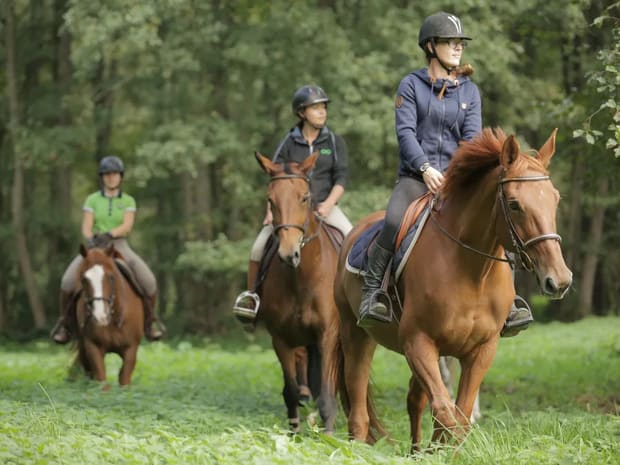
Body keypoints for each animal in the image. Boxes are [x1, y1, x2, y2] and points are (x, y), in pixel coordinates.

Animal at [73, 241, 144, 386]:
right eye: (83, 279)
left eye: (111, 277)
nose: (100, 316)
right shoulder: (92, 347)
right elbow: (102, 380)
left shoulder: (131, 349)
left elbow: (124, 379)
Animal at [252, 151, 342, 432]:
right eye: (270, 200)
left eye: (304, 197)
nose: (288, 254)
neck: (301, 278)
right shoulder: (281, 339)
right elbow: (290, 392)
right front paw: (295, 433)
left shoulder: (327, 336)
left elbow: (327, 396)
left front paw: (329, 435)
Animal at [334, 127, 572, 450]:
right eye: (514, 204)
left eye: (555, 199)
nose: (559, 279)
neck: (470, 271)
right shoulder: (418, 342)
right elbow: (447, 414)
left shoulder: (481, 350)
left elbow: (458, 417)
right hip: (356, 335)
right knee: (358, 410)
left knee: (414, 400)